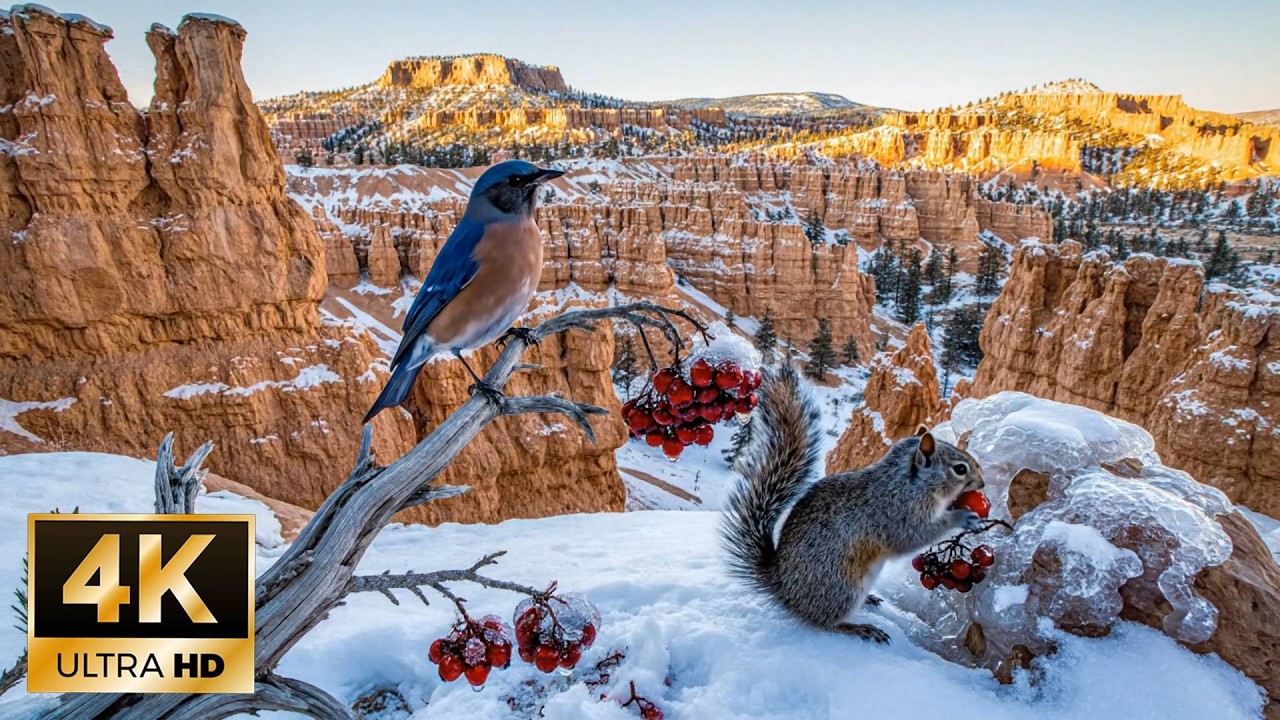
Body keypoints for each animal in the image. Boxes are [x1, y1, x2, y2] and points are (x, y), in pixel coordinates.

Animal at [721, 364, 985, 643]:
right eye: (960, 469)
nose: (982, 482)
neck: (908, 483)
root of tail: (783, 588)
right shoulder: (896, 512)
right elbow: (914, 536)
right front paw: (961, 517)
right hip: (843, 587)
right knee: (827, 622)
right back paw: (860, 627)